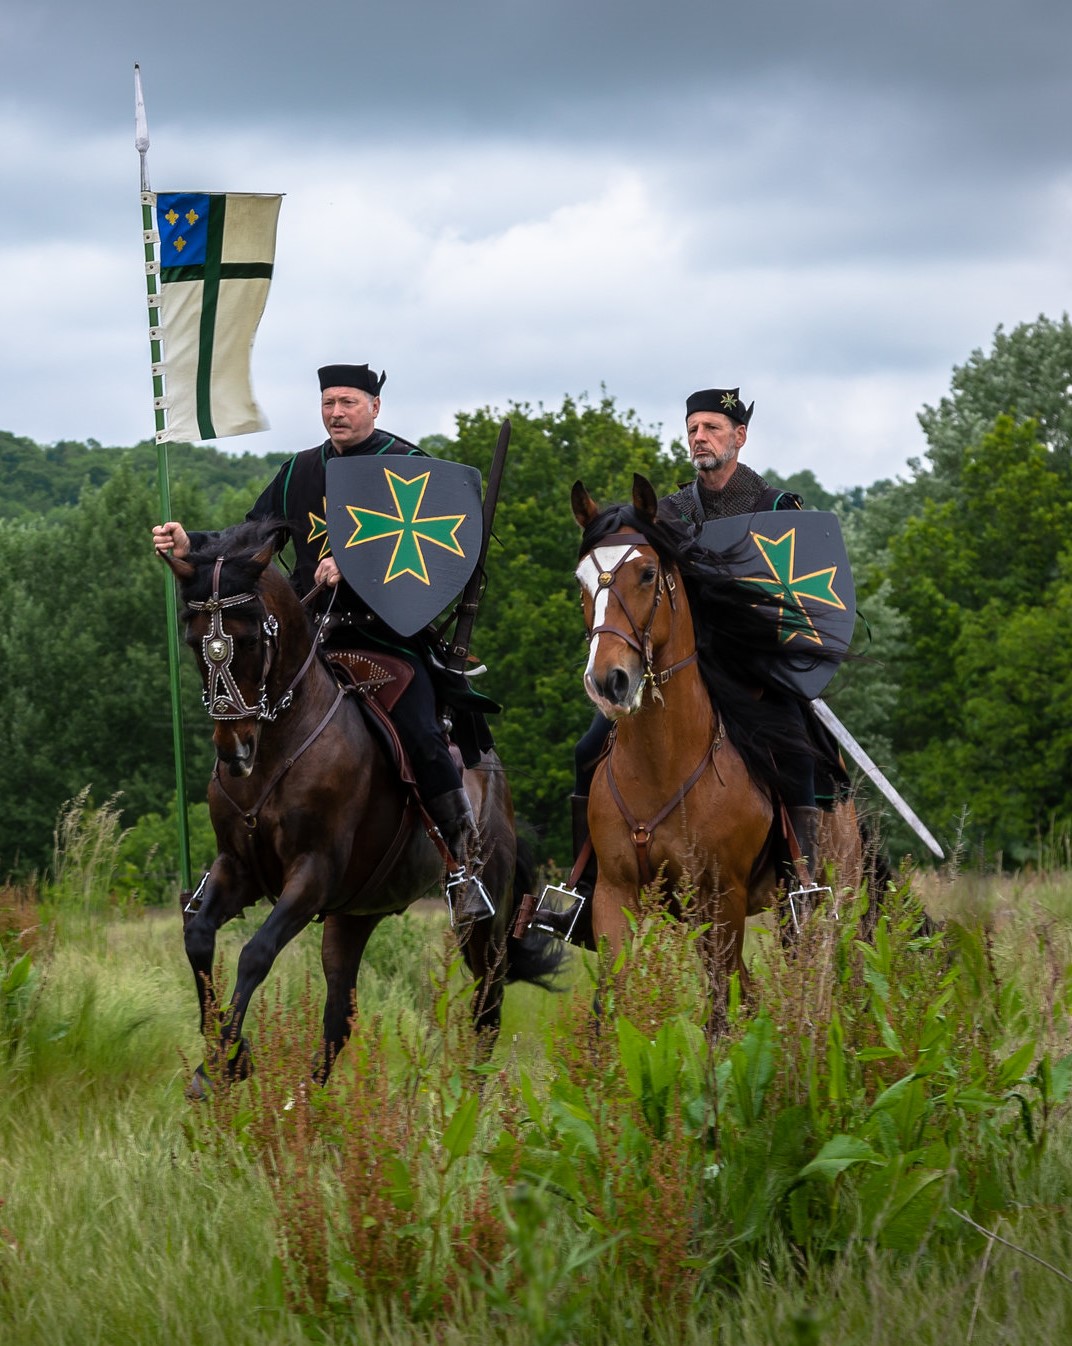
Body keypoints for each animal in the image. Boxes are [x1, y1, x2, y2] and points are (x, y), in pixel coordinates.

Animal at [165, 516, 560, 1092]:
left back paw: (472, 1095)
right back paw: (307, 1104)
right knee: (339, 1017)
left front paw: (226, 1057)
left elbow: (255, 953)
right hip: (354, 916)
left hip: (484, 921)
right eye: (197, 642)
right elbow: (197, 937)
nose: (234, 751)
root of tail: (494, 774)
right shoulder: (239, 869)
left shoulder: (312, 875)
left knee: (488, 1004)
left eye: (250, 637)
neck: (282, 744)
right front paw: (224, 1057)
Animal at [568, 479, 861, 1012]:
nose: (607, 681)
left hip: (828, 893)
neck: (662, 767)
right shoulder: (614, 895)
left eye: (647, 574)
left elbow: (723, 1007)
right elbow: (616, 993)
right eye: (581, 581)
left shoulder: (721, 895)